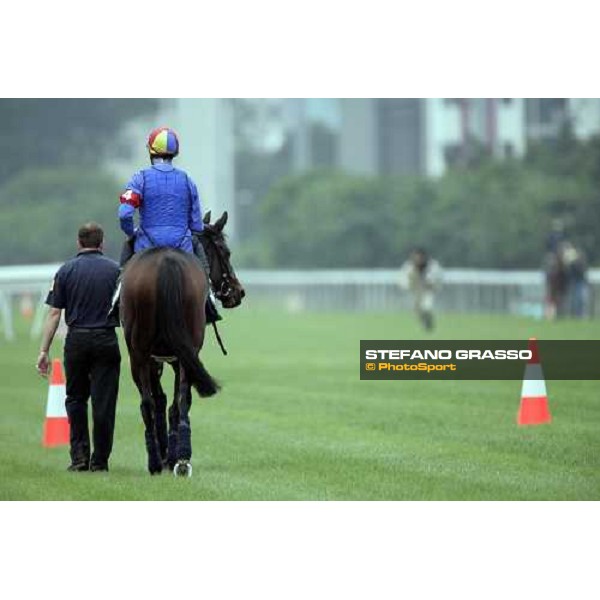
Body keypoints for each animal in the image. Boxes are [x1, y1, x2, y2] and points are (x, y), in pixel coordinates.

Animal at [120, 213, 245, 476]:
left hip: (142, 353)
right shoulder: (170, 357)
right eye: (226, 252)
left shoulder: (164, 358)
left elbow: (165, 400)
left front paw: (168, 454)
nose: (238, 292)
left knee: (154, 402)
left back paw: (164, 460)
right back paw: (176, 459)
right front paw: (169, 454)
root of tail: (167, 263)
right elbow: (167, 400)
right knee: (169, 401)